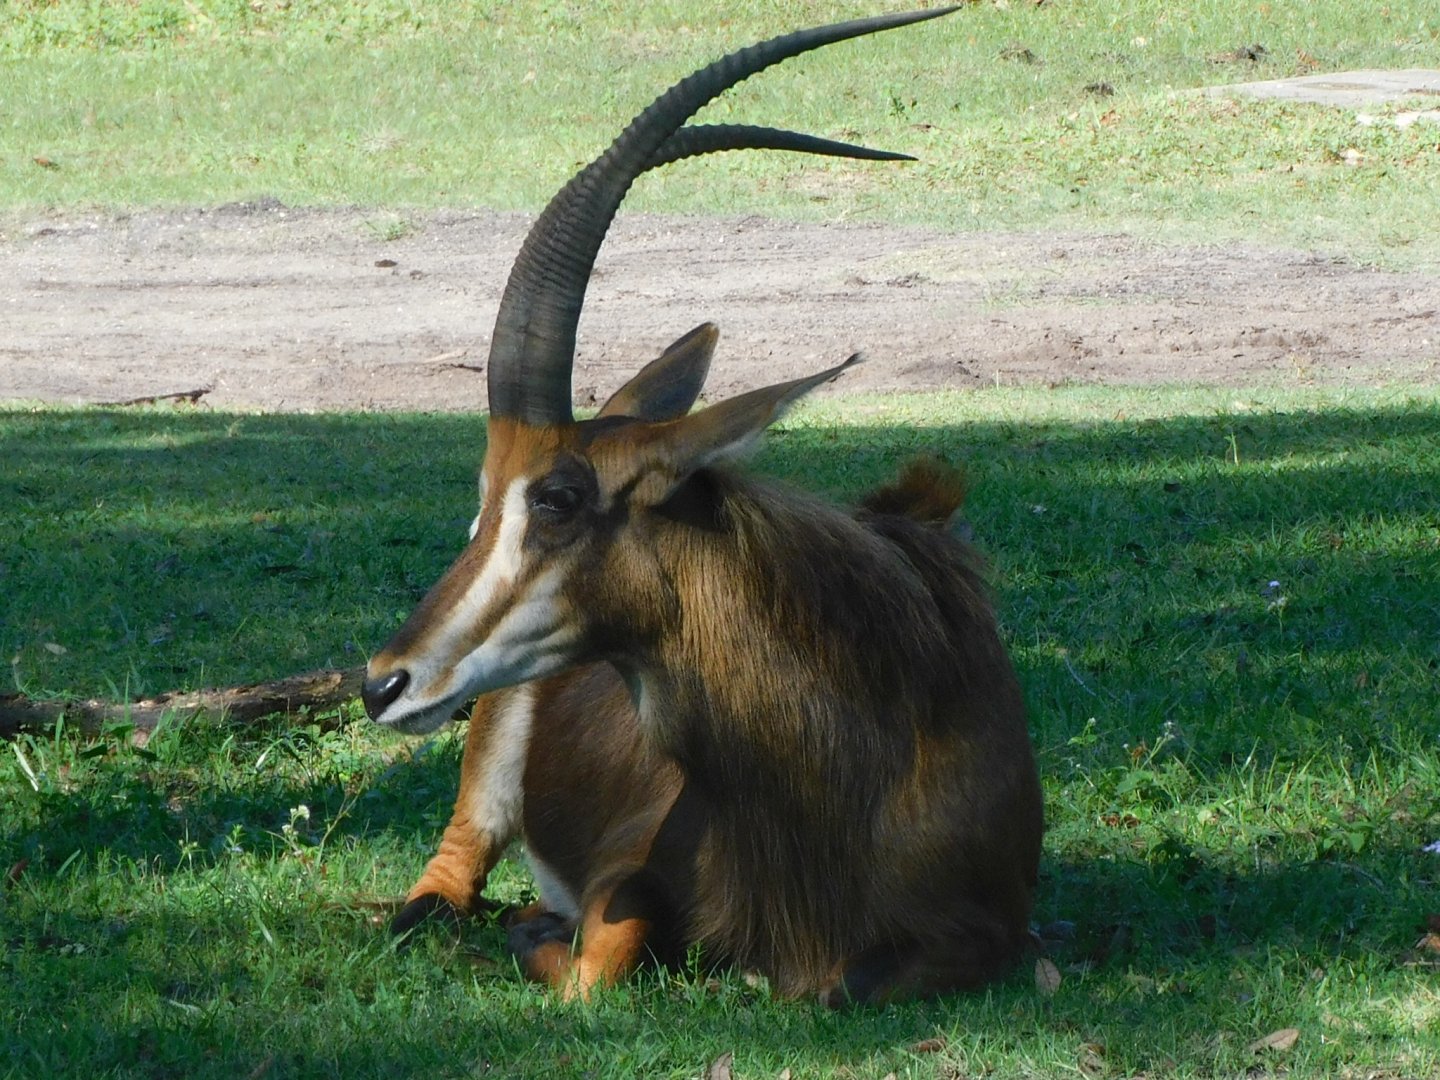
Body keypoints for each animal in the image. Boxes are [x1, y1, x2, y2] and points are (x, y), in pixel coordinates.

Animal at [366, 7, 1044, 1004]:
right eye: (482, 502)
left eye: (560, 496)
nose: (384, 682)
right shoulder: (629, 866)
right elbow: (604, 959)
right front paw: (539, 931)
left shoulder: (992, 930)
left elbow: (853, 979)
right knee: (441, 884)